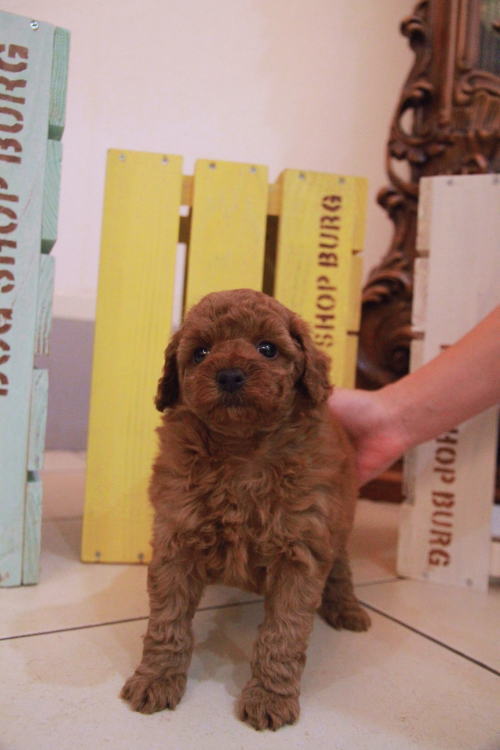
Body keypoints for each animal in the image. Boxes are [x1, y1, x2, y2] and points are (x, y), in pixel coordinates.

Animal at [121, 288, 370, 730]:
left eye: (267, 348)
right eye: (201, 352)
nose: (230, 375)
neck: (241, 449)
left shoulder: (301, 550)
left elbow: (283, 633)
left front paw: (270, 697)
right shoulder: (176, 539)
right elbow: (167, 621)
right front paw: (156, 679)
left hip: (338, 523)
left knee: (340, 569)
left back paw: (348, 609)